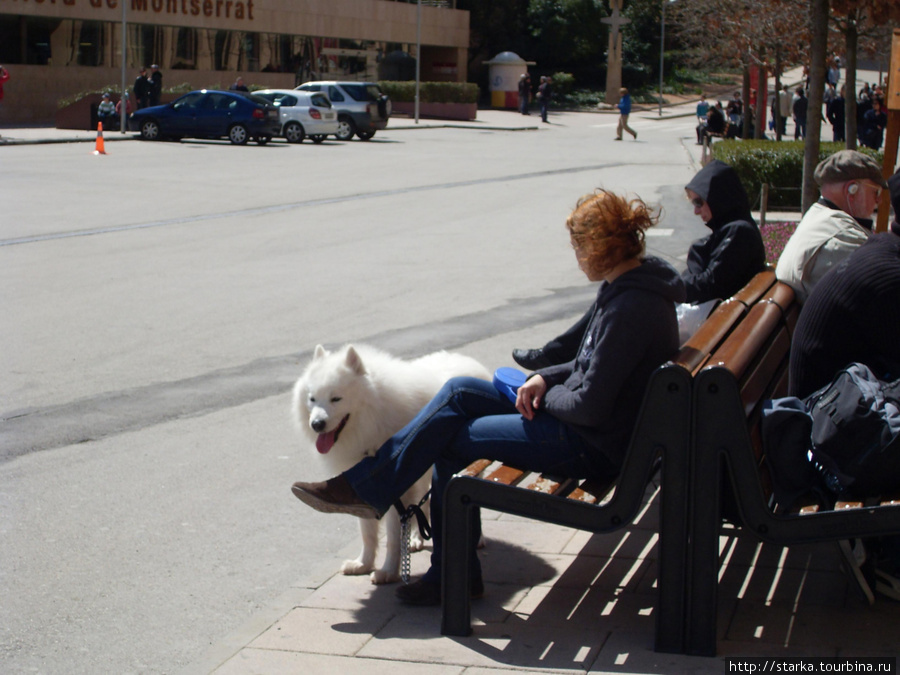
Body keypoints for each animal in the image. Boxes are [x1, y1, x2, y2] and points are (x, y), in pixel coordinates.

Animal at [292, 346, 488, 584]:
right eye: (312, 399)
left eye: (336, 398)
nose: (317, 425)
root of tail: (466, 360)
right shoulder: (366, 491)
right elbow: (367, 533)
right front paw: (362, 564)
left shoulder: (395, 492)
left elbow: (393, 537)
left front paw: (387, 571)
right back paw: (416, 538)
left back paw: (477, 539)